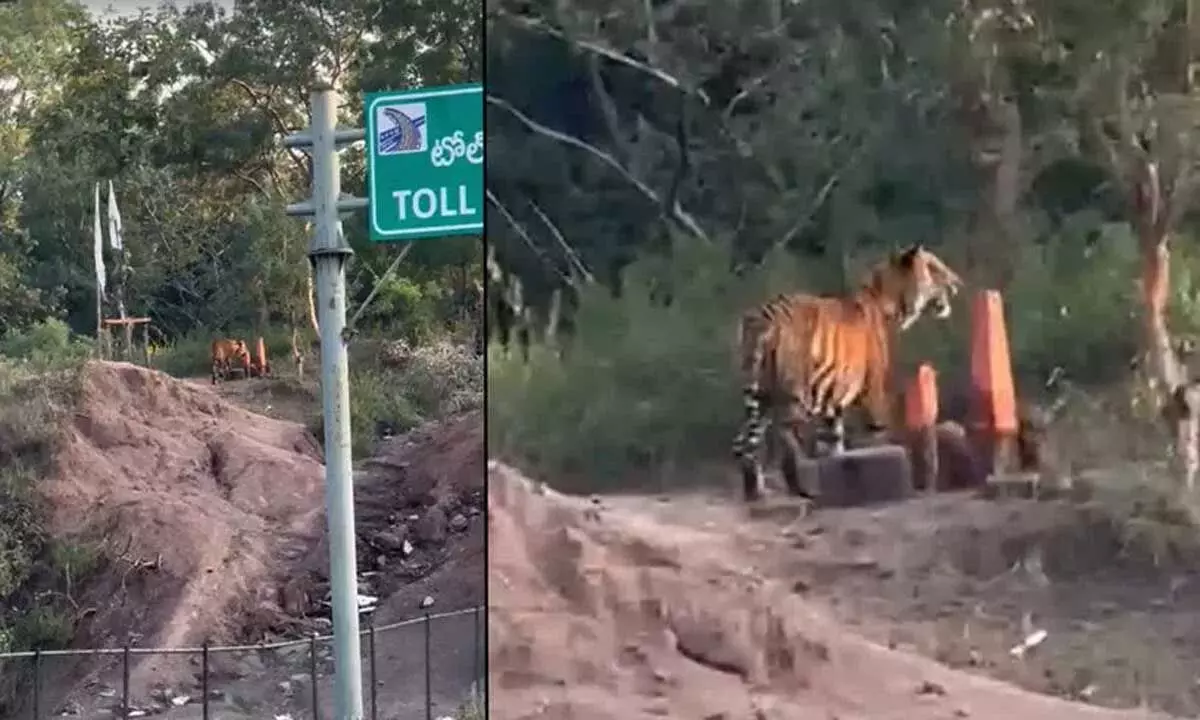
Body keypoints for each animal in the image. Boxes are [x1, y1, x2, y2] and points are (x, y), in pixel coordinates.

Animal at [729, 244, 964, 504]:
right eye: (934, 267)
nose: (958, 282)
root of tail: (762, 317)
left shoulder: (831, 403)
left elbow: (833, 443)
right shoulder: (873, 390)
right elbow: (877, 433)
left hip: (759, 396)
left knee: (744, 442)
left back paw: (756, 492)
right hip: (792, 394)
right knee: (784, 438)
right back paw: (797, 490)